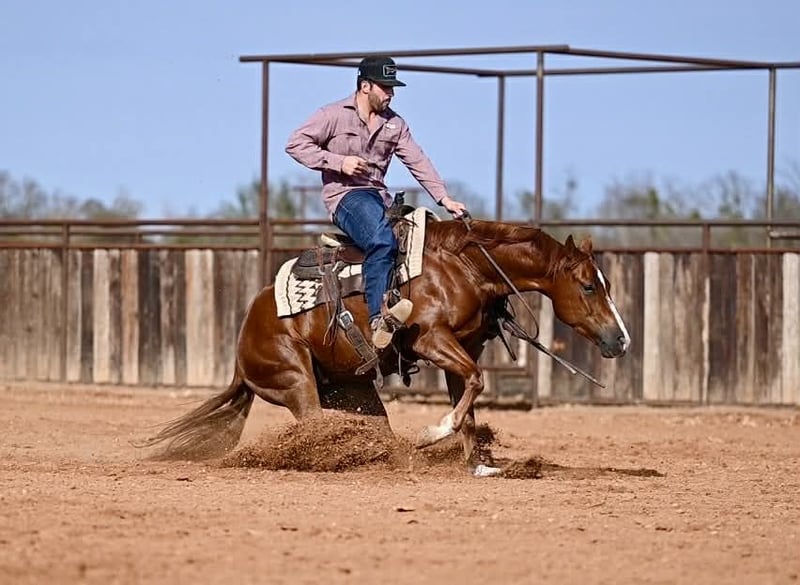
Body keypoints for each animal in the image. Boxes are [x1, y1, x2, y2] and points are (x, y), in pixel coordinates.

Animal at [140, 214, 630, 475]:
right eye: (589, 285)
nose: (621, 340)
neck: (465, 267)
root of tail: (241, 358)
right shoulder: (432, 340)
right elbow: (475, 384)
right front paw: (433, 434)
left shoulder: (463, 349)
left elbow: (470, 397)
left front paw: (476, 464)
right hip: (294, 380)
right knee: (312, 424)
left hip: (353, 390)